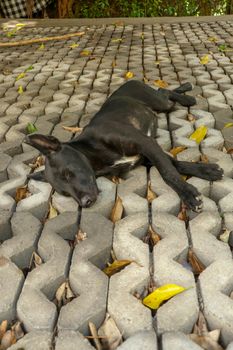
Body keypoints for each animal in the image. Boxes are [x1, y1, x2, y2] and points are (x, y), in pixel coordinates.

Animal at [25, 80, 222, 211]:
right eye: (64, 193)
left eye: (67, 173)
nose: (85, 204)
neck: (94, 152)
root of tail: (129, 80)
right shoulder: (146, 156)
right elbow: (174, 164)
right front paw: (207, 171)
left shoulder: (146, 143)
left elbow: (168, 172)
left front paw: (188, 194)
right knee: (163, 91)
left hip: (161, 103)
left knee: (163, 91)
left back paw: (187, 95)